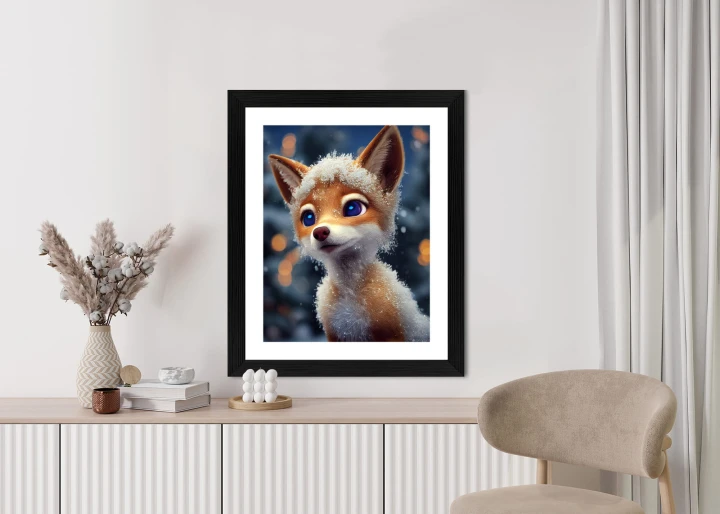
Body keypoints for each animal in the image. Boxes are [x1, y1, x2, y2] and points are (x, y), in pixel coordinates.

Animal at [268, 125, 430, 342]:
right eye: (308, 218)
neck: (350, 298)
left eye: (353, 208)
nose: (320, 232)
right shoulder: (335, 334)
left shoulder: (391, 332)